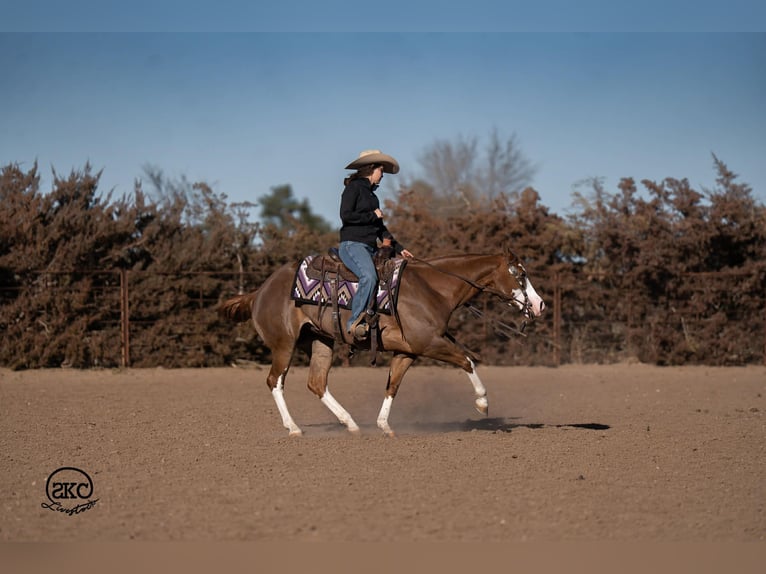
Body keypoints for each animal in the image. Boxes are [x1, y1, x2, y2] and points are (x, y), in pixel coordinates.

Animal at [219, 245, 545, 436]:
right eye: (520, 274)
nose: (539, 305)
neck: (432, 287)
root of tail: (260, 290)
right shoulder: (429, 343)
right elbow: (468, 361)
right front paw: (482, 403)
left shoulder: (408, 352)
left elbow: (393, 385)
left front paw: (384, 425)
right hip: (283, 345)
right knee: (275, 381)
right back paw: (294, 428)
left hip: (320, 341)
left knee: (317, 382)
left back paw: (350, 424)